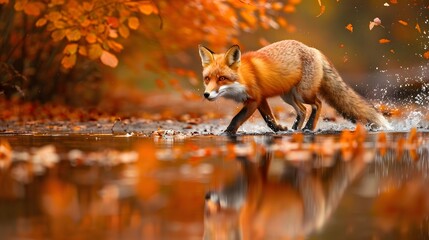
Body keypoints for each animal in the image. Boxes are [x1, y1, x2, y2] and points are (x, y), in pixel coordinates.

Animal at [197, 41, 392, 135]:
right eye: (207, 78)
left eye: (222, 79)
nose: (206, 94)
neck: (244, 77)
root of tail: (313, 49)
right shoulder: (261, 99)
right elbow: (270, 120)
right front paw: (281, 130)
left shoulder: (255, 99)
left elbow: (237, 119)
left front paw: (227, 133)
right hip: (289, 96)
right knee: (303, 110)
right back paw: (295, 128)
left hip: (303, 93)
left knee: (317, 104)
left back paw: (308, 128)